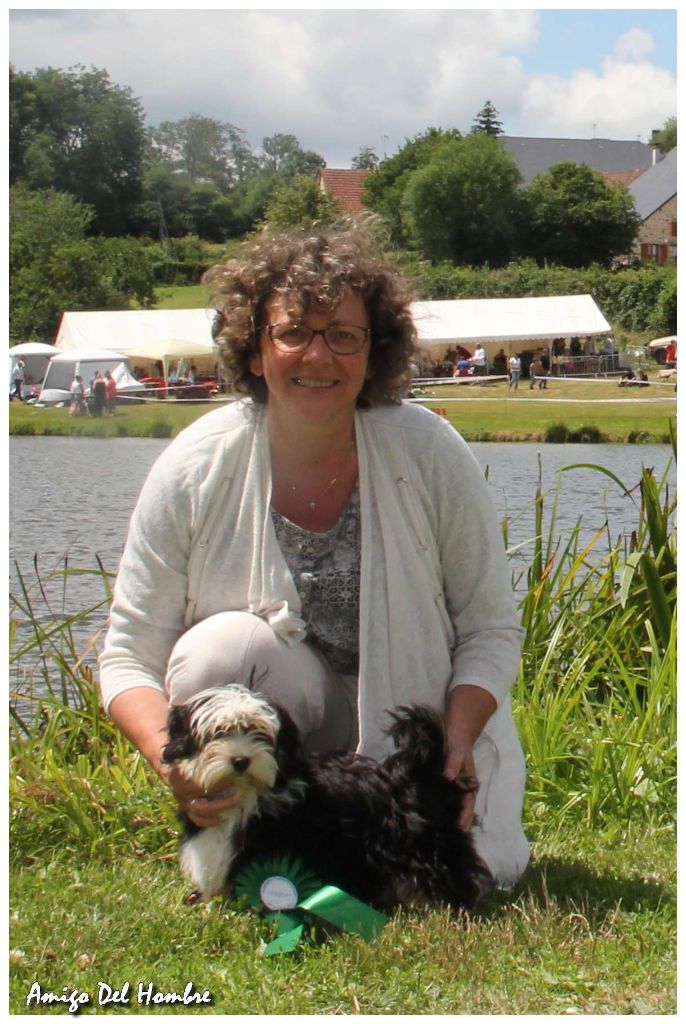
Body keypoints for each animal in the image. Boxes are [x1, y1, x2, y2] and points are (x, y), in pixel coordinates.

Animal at [162, 685, 494, 913]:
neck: (248, 795)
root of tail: (419, 769)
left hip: (422, 843)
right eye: (218, 733)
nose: (241, 760)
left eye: (260, 733)